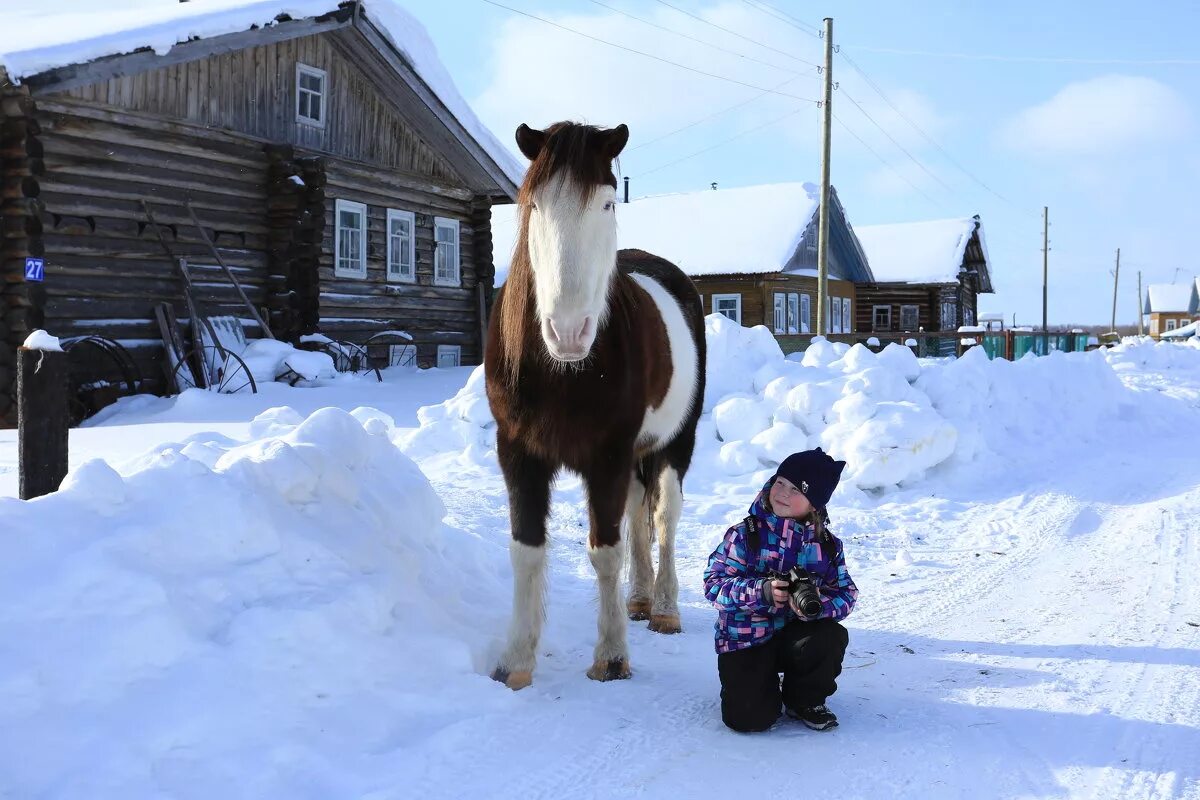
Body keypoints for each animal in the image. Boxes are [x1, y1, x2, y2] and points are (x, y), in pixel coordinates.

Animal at [487, 122, 705, 690]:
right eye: (534, 204)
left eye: (607, 203)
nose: (567, 332)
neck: (562, 373)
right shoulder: (518, 453)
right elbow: (526, 551)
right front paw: (514, 663)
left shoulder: (607, 455)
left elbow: (605, 551)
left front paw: (610, 657)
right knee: (637, 510)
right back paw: (640, 600)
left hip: (677, 441)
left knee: (664, 518)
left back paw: (665, 608)